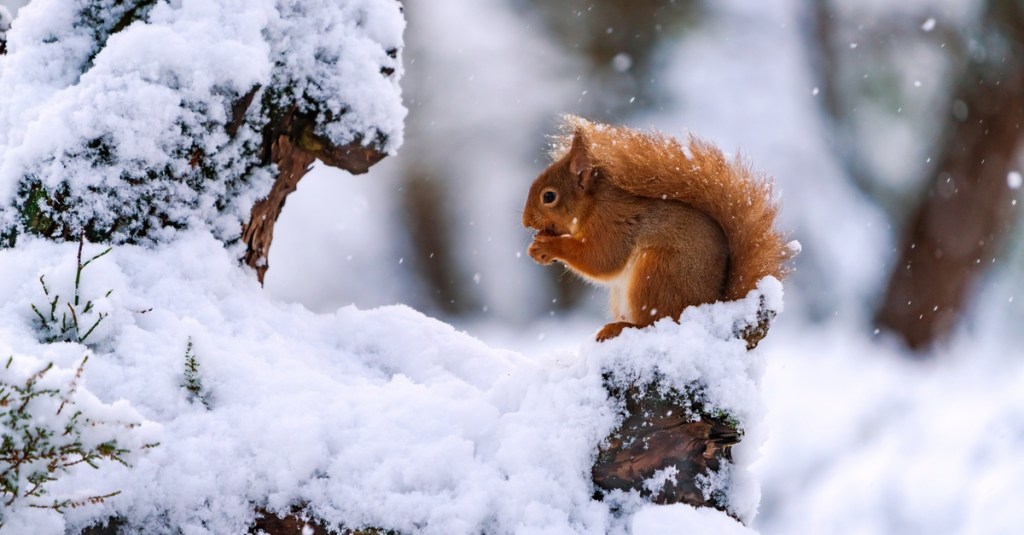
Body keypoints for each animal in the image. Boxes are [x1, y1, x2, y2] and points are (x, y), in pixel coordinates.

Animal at [522, 116, 790, 342]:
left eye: (549, 196)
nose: (525, 221)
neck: (593, 205)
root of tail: (712, 303)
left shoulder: (613, 224)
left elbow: (602, 259)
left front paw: (549, 247)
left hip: (657, 271)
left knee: (654, 321)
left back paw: (620, 328)